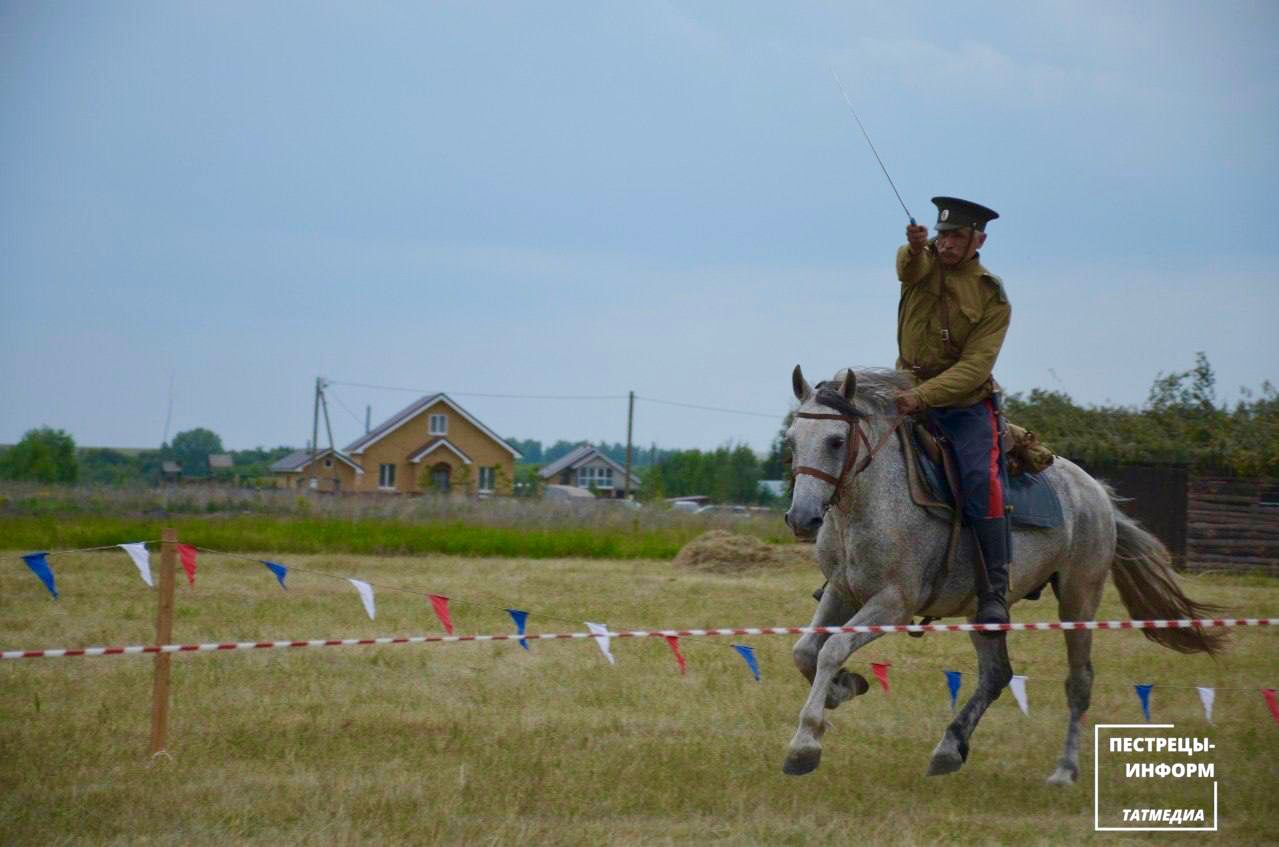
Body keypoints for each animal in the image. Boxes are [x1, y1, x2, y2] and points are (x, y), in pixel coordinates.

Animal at [772, 368, 1222, 788]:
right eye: (792, 440)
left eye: (835, 441)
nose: (802, 518)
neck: (873, 504)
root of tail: (1095, 491)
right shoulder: (842, 594)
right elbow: (805, 651)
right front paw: (843, 689)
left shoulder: (891, 603)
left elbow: (831, 649)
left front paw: (804, 746)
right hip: (984, 609)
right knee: (996, 674)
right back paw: (949, 749)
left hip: (1079, 597)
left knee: (1079, 681)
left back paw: (1064, 770)